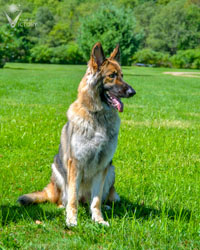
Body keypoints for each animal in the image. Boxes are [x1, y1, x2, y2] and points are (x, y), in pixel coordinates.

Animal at [17, 42, 136, 226]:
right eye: (112, 76)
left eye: (122, 76)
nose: (132, 92)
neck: (97, 117)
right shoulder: (76, 164)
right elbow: (73, 198)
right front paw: (72, 220)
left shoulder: (103, 165)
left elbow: (96, 200)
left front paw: (98, 219)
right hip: (58, 170)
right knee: (64, 199)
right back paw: (63, 207)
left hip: (111, 170)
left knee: (100, 198)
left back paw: (105, 206)